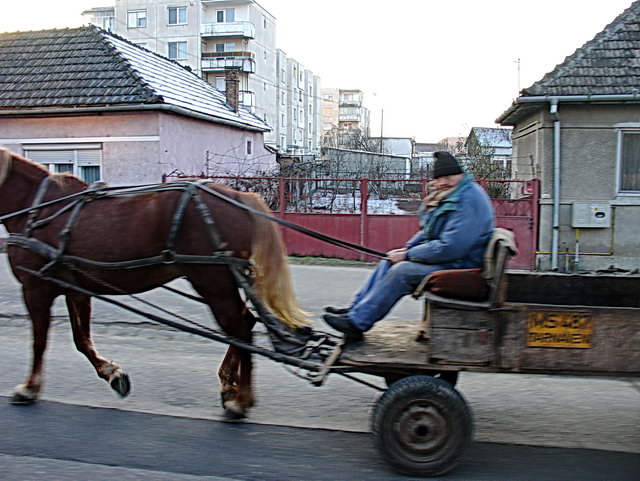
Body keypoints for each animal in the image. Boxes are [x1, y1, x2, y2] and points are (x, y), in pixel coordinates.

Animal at [0, 148, 310, 418]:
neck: (36, 207)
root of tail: (237, 195)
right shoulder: (76, 289)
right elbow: (82, 339)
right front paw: (113, 374)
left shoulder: (35, 289)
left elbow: (39, 341)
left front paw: (29, 388)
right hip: (224, 281)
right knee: (245, 323)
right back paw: (229, 385)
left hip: (213, 282)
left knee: (240, 329)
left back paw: (241, 399)